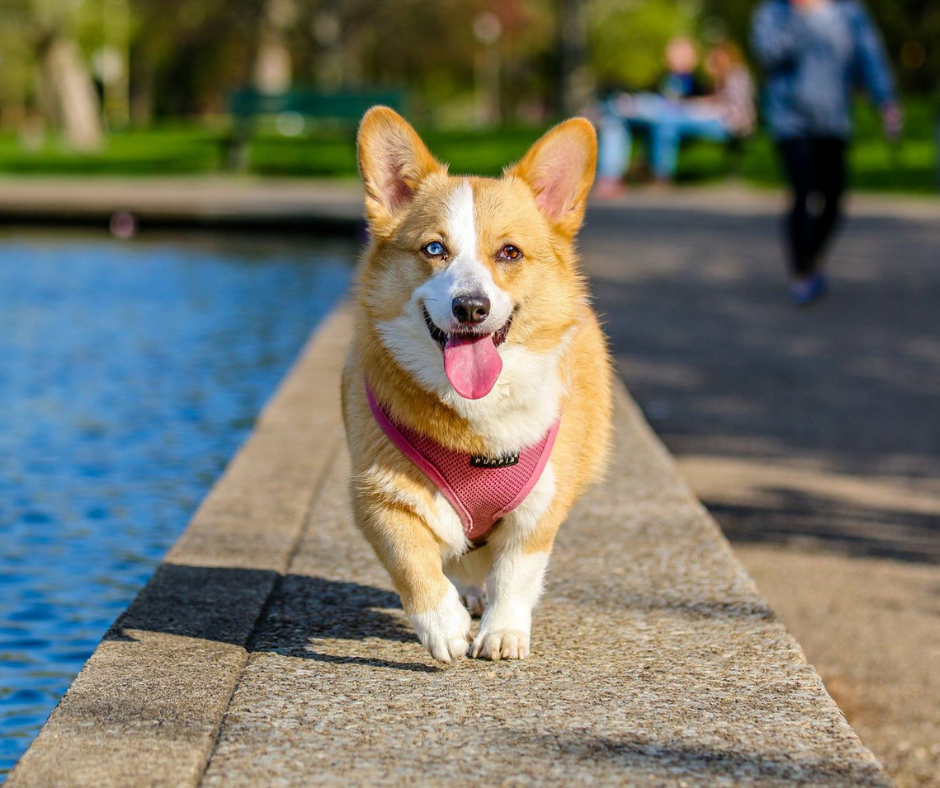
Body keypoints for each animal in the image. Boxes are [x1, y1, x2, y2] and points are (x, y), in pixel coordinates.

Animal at [342, 107, 612, 660]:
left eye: (509, 252)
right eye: (434, 248)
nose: (471, 307)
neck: (477, 420)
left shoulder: (540, 506)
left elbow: (515, 573)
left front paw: (503, 632)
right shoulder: (377, 495)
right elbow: (412, 562)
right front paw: (442, 627)